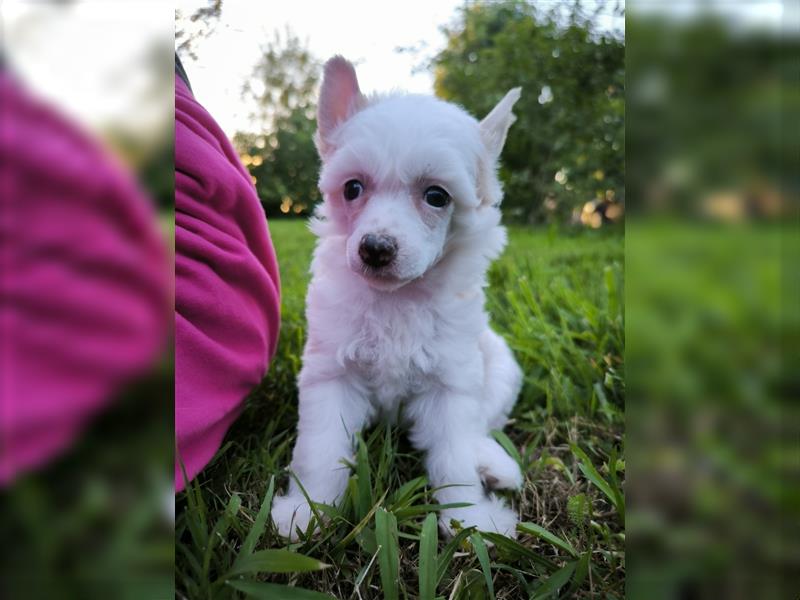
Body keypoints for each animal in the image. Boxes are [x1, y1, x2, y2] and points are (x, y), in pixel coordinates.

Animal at [272, 58, 524, 540]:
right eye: (352, 189)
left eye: (436, 196)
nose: (375, 248)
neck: (396, 300)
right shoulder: (331, 376)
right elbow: (321, 449)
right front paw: (306, 513)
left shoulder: (451, 383)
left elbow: (455, 458)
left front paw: (472, 520)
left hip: (501, 368)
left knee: (482, 426)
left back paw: (494, 465)